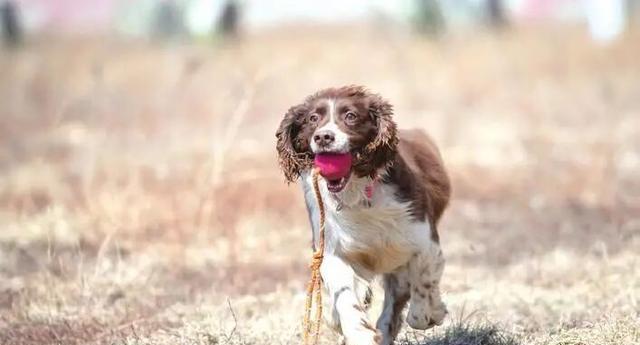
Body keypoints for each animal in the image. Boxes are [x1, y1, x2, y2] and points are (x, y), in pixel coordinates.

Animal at [276, 85, 450, 344]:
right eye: (313, 118)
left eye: (351, 116)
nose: (323, 137)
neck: (357, 194)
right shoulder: (332, 249)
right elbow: (345, 296)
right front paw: (359, 332)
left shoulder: (421, 237)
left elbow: (424, 283)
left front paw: (432, 312)